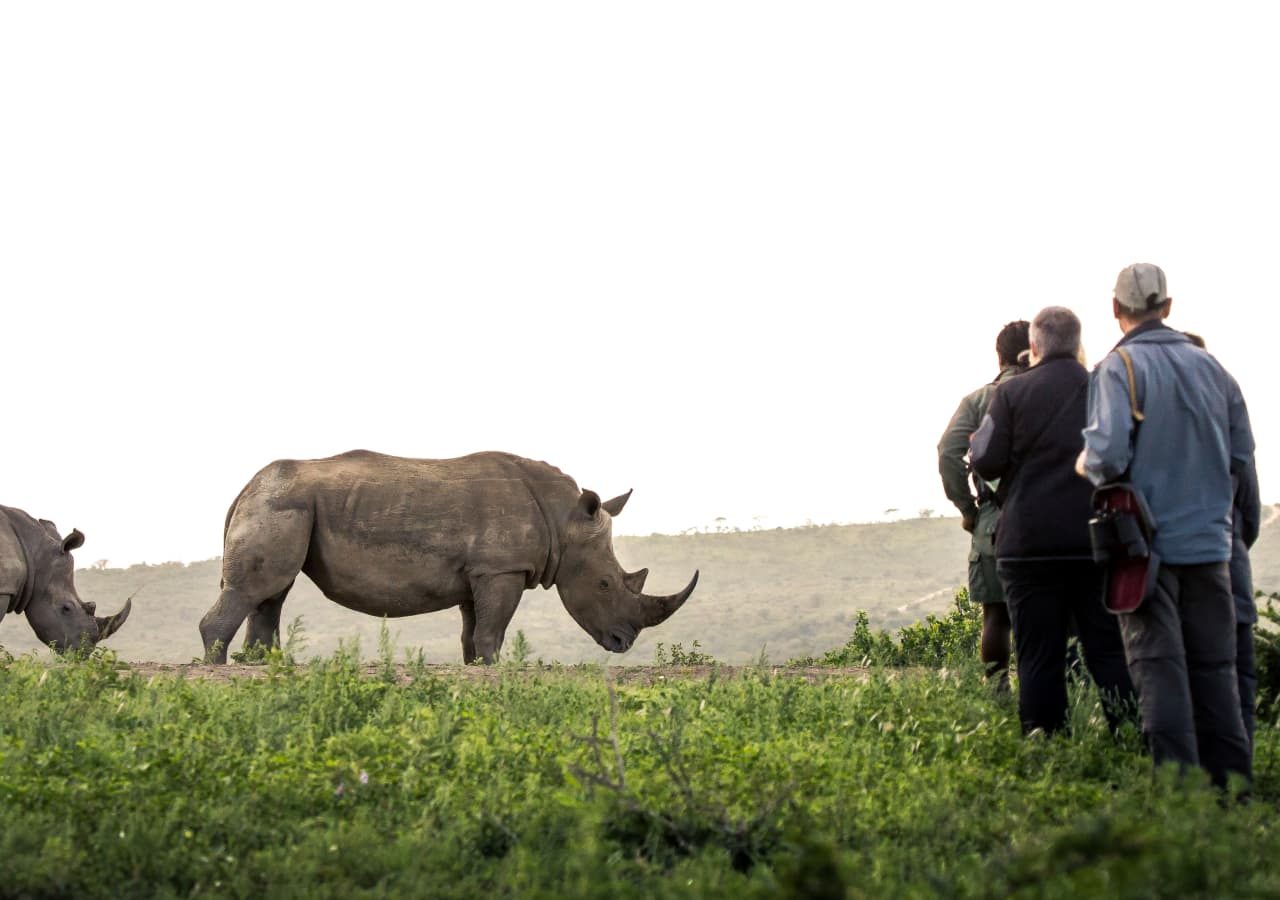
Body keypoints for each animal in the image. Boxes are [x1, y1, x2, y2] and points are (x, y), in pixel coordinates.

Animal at [199, 450, 701, 660]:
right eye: (604, 583)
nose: (623, 642)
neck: (565, 521)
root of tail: (245, 486)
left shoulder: (481, 572)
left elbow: (473, 633)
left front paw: (477, 669)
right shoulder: (502, 568)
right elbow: (493, 632)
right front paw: (497, 670)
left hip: (285, 505)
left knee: (271, 594)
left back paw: (264, 667)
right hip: (279, 503)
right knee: (258, 589)